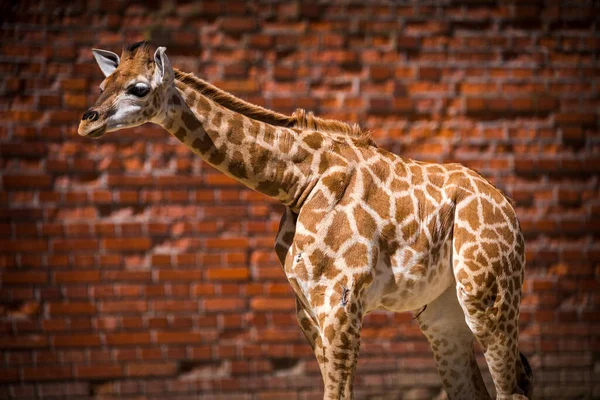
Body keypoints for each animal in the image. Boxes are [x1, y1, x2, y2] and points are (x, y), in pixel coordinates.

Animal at [77, 42, 532, 398]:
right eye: (102, 86)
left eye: (138, 88)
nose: (87, 121)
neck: (297, 180)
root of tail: (508, 206)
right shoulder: (307, 309)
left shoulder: (342, 301)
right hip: (442, 313)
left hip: (487, 293)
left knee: (511, 387)